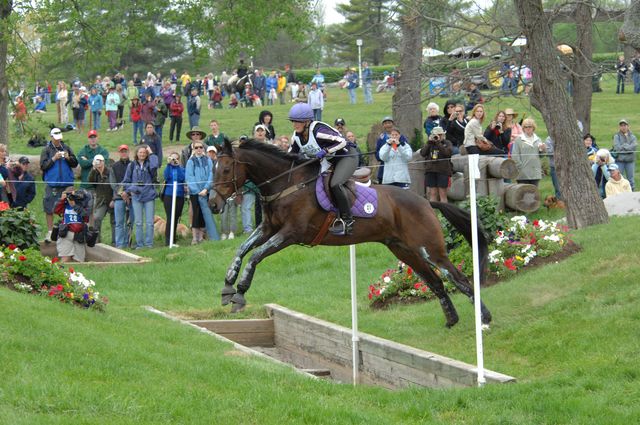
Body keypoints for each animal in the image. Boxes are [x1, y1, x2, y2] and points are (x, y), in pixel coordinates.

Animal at [212, 139, 492, 328]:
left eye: (225, 170)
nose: (213, 204)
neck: (286, 183)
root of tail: (425, 201)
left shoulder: (291, 234)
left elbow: (255, 256)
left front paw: (239, 293)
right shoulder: (268, 229)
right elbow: (242, 250)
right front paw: (227, 286)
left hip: (430, 249)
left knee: (459, 279)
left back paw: (485, 319)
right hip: (405, 250)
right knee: (435, 282)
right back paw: (452, 320)